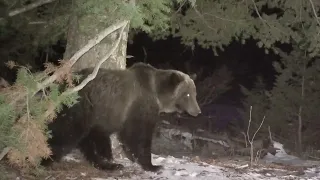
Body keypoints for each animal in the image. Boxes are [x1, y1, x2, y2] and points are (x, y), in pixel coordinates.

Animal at [40, 62, 200, 172]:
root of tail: (62, 85)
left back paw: (109, 164)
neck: (158, 96)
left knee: (87, 139)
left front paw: (129, 156)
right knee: (67, 131)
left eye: (194, 93)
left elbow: (124, 135)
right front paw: (153, 165)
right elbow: (139, 135)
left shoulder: (117, 114)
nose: (198, 111)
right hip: (81, 107)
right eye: (187, 94)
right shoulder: (139, 107)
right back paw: (46, 159)